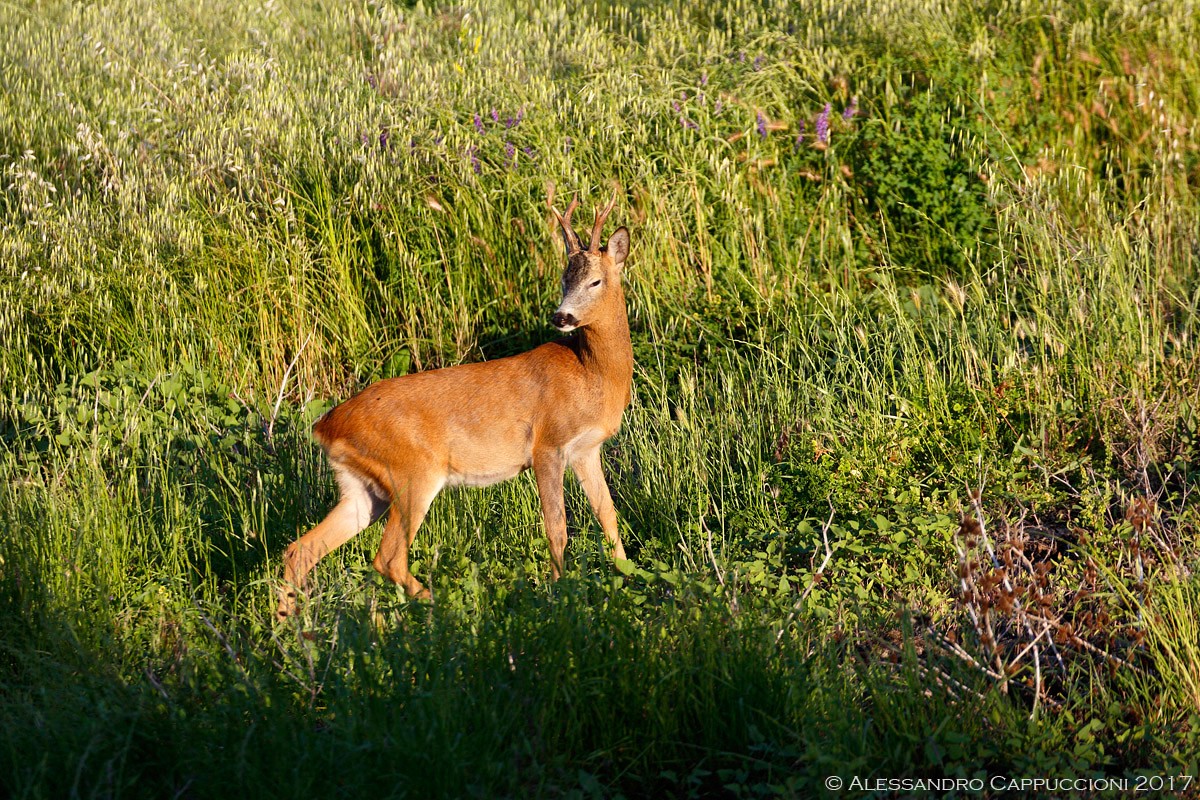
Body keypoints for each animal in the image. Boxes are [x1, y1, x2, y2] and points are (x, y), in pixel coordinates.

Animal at [276, 189, 633, 618]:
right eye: (564, 279)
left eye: (595, 280)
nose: (561, 316)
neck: (591, 374)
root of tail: (325, 426)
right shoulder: (547, 445)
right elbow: (557, 528)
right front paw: (559, 594)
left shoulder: (586, 449)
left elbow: (608, 515)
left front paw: (627, 575)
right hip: (412, 472)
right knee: (388, 557)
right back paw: (449, 609)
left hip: (361, 488)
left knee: (300, 548)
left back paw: (289, 626)